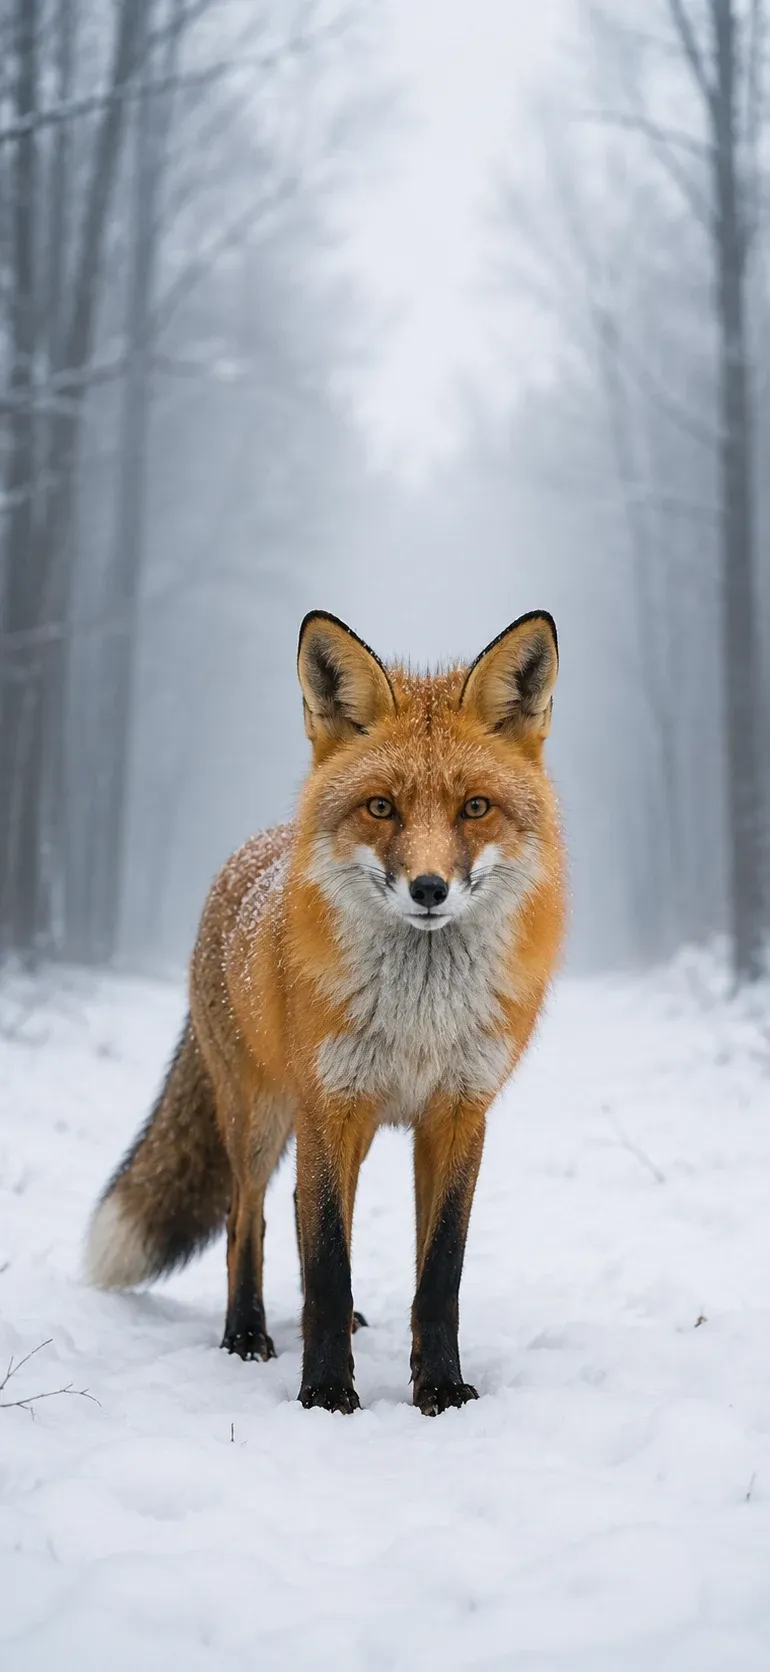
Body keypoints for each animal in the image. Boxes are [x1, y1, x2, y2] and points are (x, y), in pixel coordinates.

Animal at [86, 609, 566, 1415]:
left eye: (475, 807)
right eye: (381, 807)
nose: (429, 889)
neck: (418, 1016)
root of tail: (250, 854)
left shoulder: (458, 1112)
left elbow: (438, 1272)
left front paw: (439, 1386)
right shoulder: (327, 1105)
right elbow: (326, 1261)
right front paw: (326, 1393)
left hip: (351, 1130)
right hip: (259, 1118)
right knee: (247, 1219)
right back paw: (246, 1333)